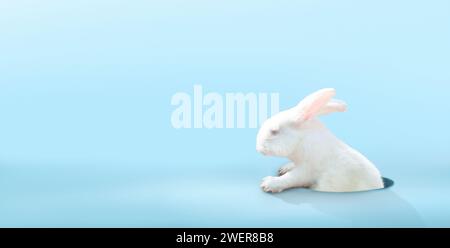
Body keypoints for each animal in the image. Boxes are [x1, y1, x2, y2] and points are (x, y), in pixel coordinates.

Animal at [256, 88, 384, 193]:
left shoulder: (306, 170)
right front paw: (284, 168)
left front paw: (268, 184)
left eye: (274, 131)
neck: (302, 142)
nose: (258, 148)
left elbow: (291, 178)